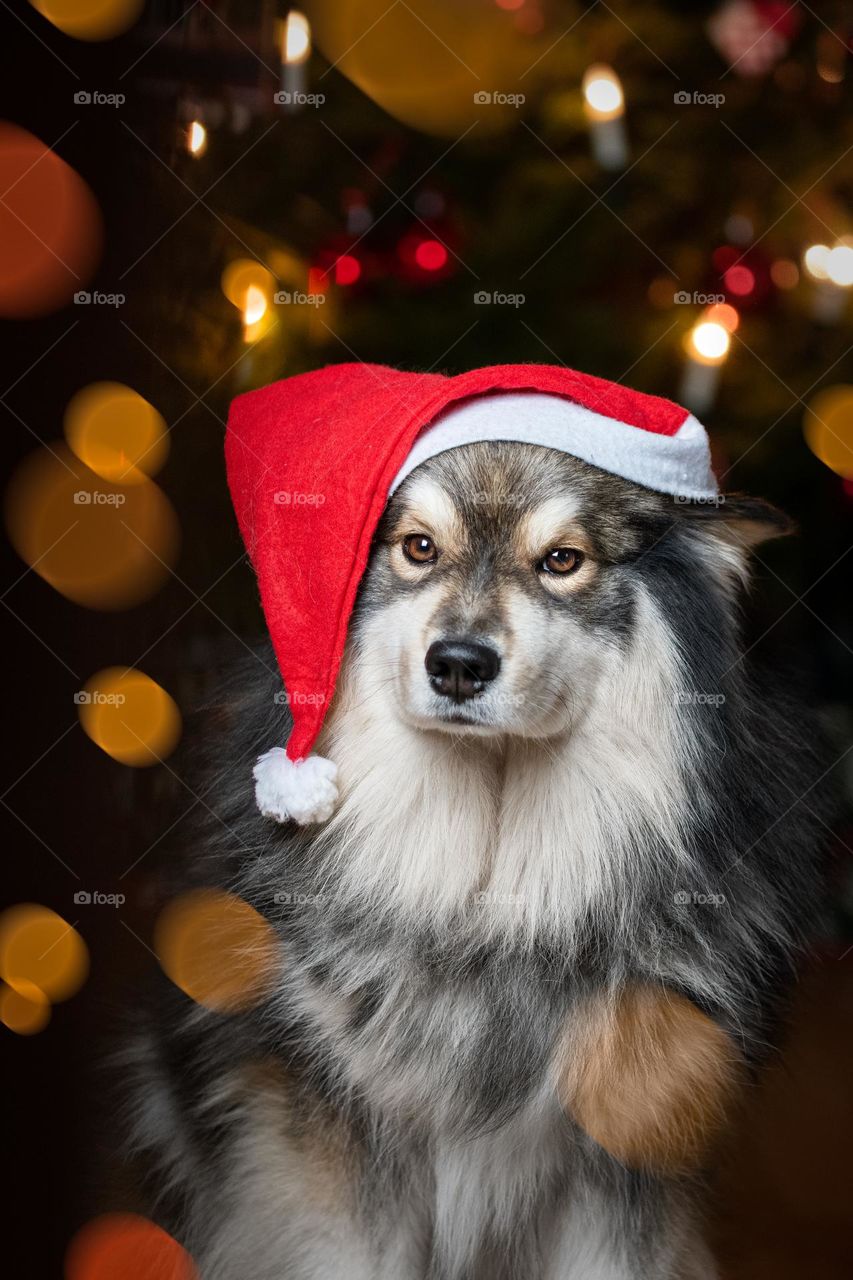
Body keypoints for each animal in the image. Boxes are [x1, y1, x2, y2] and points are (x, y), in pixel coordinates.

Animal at [126, 442, 824, 1280]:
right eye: (418, 548)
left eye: (562, 560)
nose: (458, 664)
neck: (486, 903)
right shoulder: (340, 1147)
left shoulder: (626, 1155)